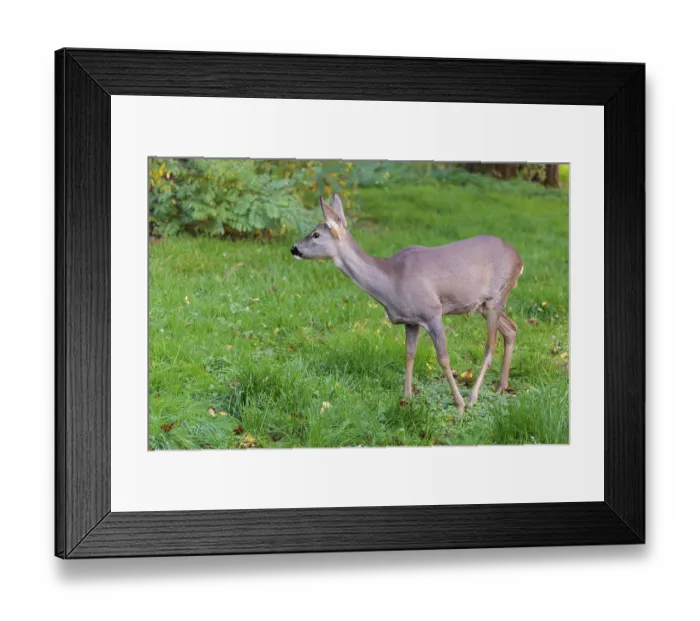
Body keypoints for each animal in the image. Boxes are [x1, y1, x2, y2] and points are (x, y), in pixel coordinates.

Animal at [291, 194, 524, 412]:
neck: (392, 282)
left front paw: (459, 404)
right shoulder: (411, 320)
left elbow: (443, 358)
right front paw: (407, 396)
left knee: (490, 345)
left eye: (316, 234)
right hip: (482, 305)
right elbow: (409, 354)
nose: (294, 248)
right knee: (511, 328)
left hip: (496, 296)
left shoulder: (433, 311)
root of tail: (519, 260)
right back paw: (501, 386)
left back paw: (474, 396)